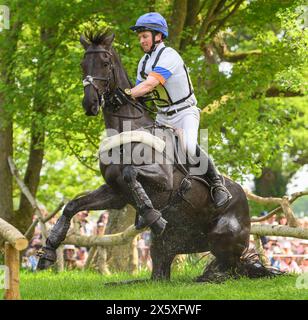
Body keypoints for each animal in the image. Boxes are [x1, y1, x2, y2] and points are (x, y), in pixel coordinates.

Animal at [38, 31, 280, 282]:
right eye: (82, 64)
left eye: (105, 63)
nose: (90, 104)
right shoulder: (116, 193)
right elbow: (72, 206)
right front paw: (48, 251)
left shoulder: (162, 180)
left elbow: (131, 172)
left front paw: (151, 214)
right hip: (164, 244)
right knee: (161, 272)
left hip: (222, 236)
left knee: (232, 267)